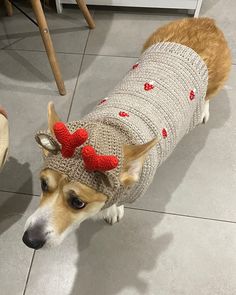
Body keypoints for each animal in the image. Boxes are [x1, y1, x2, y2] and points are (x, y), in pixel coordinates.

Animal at [22, 17, 230, 251]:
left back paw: (203, 110)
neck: (113, 128)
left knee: (208, 96)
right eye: (43, 184)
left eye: (78, 202)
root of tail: (204, 21)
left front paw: (113, 210)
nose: (29, 240)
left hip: (214, 82)